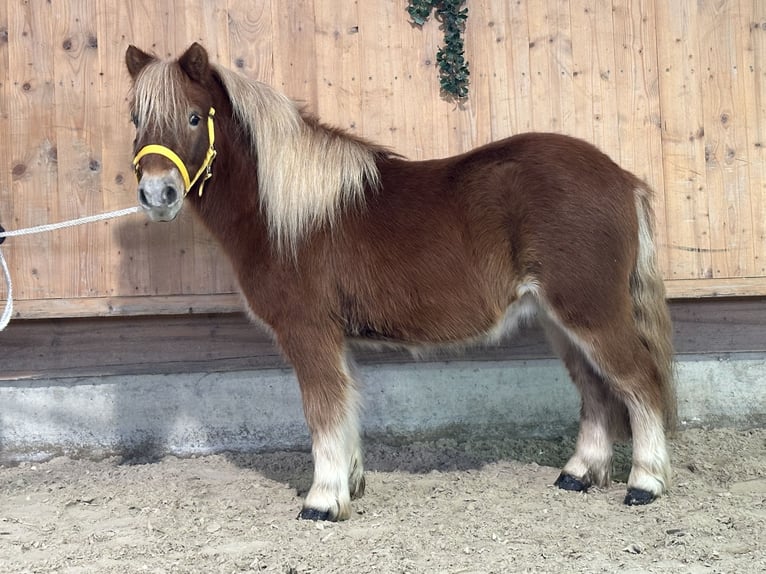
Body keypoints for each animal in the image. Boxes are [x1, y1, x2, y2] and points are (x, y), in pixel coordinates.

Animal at [126, 44, 680, 520]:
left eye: (193, 117)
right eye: (135, 118)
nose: (157, 194)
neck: (287, 213)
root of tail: (623, 179)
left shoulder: (309, 332)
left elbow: (323, 413)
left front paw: (322, 501)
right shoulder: (335, 338)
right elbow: (345, 408)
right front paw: (349, 485)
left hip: (591, 312)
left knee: (638, 381)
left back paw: (645, 484)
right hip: (560, 320)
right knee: (596, 389)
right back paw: (579, 474)